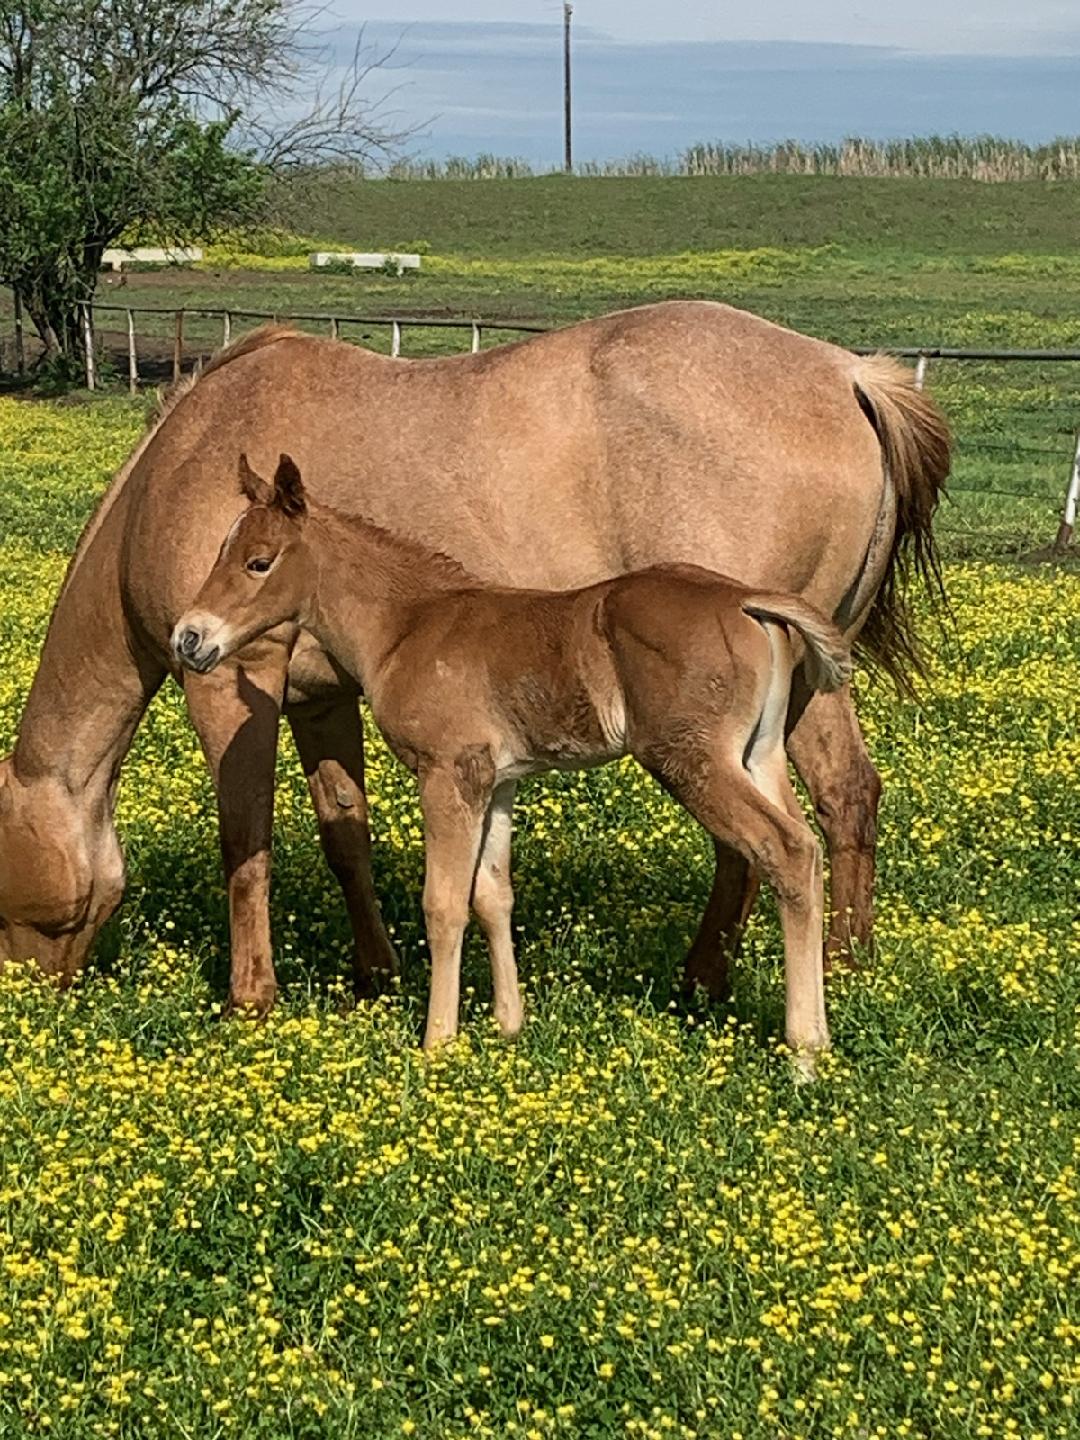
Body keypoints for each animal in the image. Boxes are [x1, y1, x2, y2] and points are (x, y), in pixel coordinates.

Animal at [175, 457, 852, 1071]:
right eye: (221, 552)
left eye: (259, 561)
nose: (189, 637)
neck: (406, 626)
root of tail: (745, 600)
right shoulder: (497, 783)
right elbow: (492, 895)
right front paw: (508, 1025)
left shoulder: (448, 774)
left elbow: (444, 903)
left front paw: (438, 1041)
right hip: (758, 755)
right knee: (807, 847)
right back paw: (819, 1034)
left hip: (692, 759)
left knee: (786, 850)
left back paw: (803, 1052)